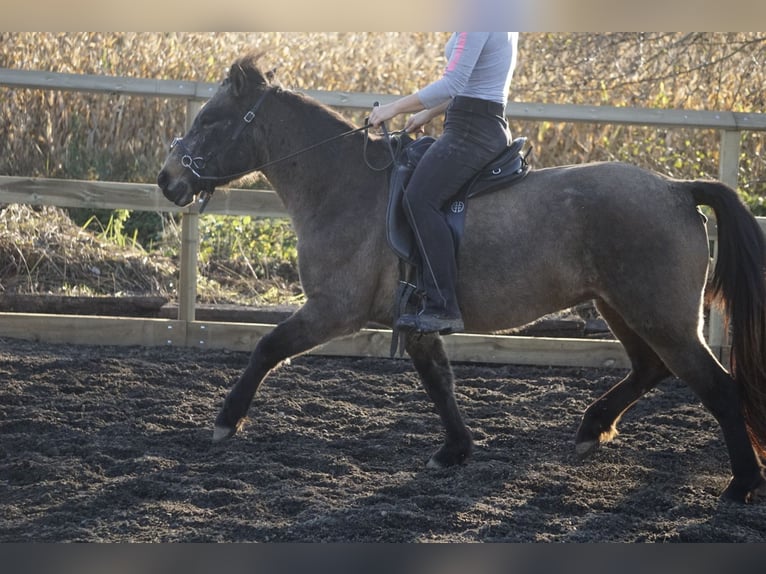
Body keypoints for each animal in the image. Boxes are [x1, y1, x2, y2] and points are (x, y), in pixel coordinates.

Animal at [156, 54, 766, 504]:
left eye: (209, 121)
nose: (167, 180)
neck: (345, 187)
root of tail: (677, 189)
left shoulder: (334, 309)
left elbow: (266, 347)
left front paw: (225, 423)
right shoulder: (417, 318)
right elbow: (438, 381)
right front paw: (455, 450)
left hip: (659, 315)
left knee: (715, 385)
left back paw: (741, 484)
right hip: (621, 306)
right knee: (649, 368)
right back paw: (593, 429)